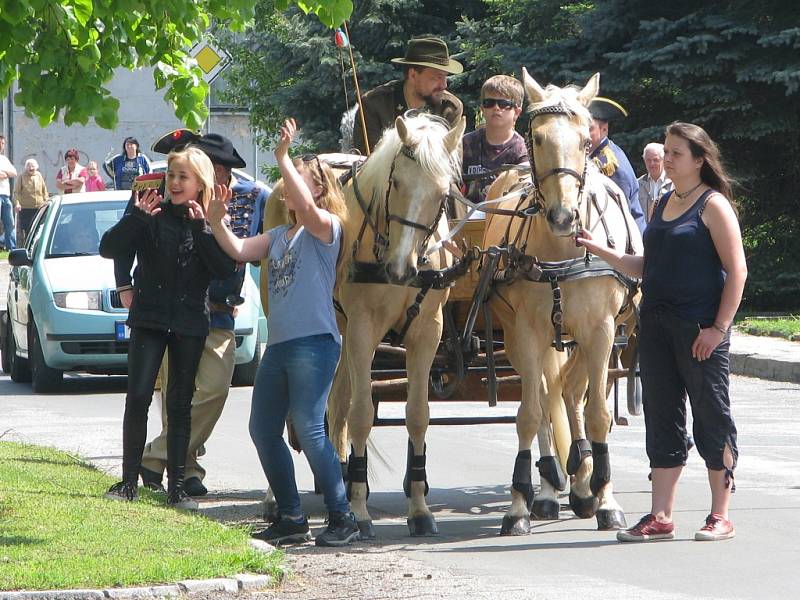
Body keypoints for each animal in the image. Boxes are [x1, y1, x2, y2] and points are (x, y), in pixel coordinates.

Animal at [264, 115, 462, 536]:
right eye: (396, 181)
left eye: (442, 193)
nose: (401, 268)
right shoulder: (362, 329)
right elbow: (360, 415)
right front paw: (357, 509)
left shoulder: (428, 332)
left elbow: (417, 415)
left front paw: (419, 510)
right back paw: (276, 500)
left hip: (336, 330)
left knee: (335, 402)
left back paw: (338, 474)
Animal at [482, 70, 644, 536]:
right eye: (536, 137)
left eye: (586, 141)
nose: (563, 216)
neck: (561, 252)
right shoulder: (528, 332)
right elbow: (530, 413)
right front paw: (519, 504)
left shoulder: (601, 331)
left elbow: (596, 415)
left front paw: (604, 497)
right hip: (520, 338)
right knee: (546, 397)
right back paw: (551, 488)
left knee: (571, 392)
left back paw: (582, 479)